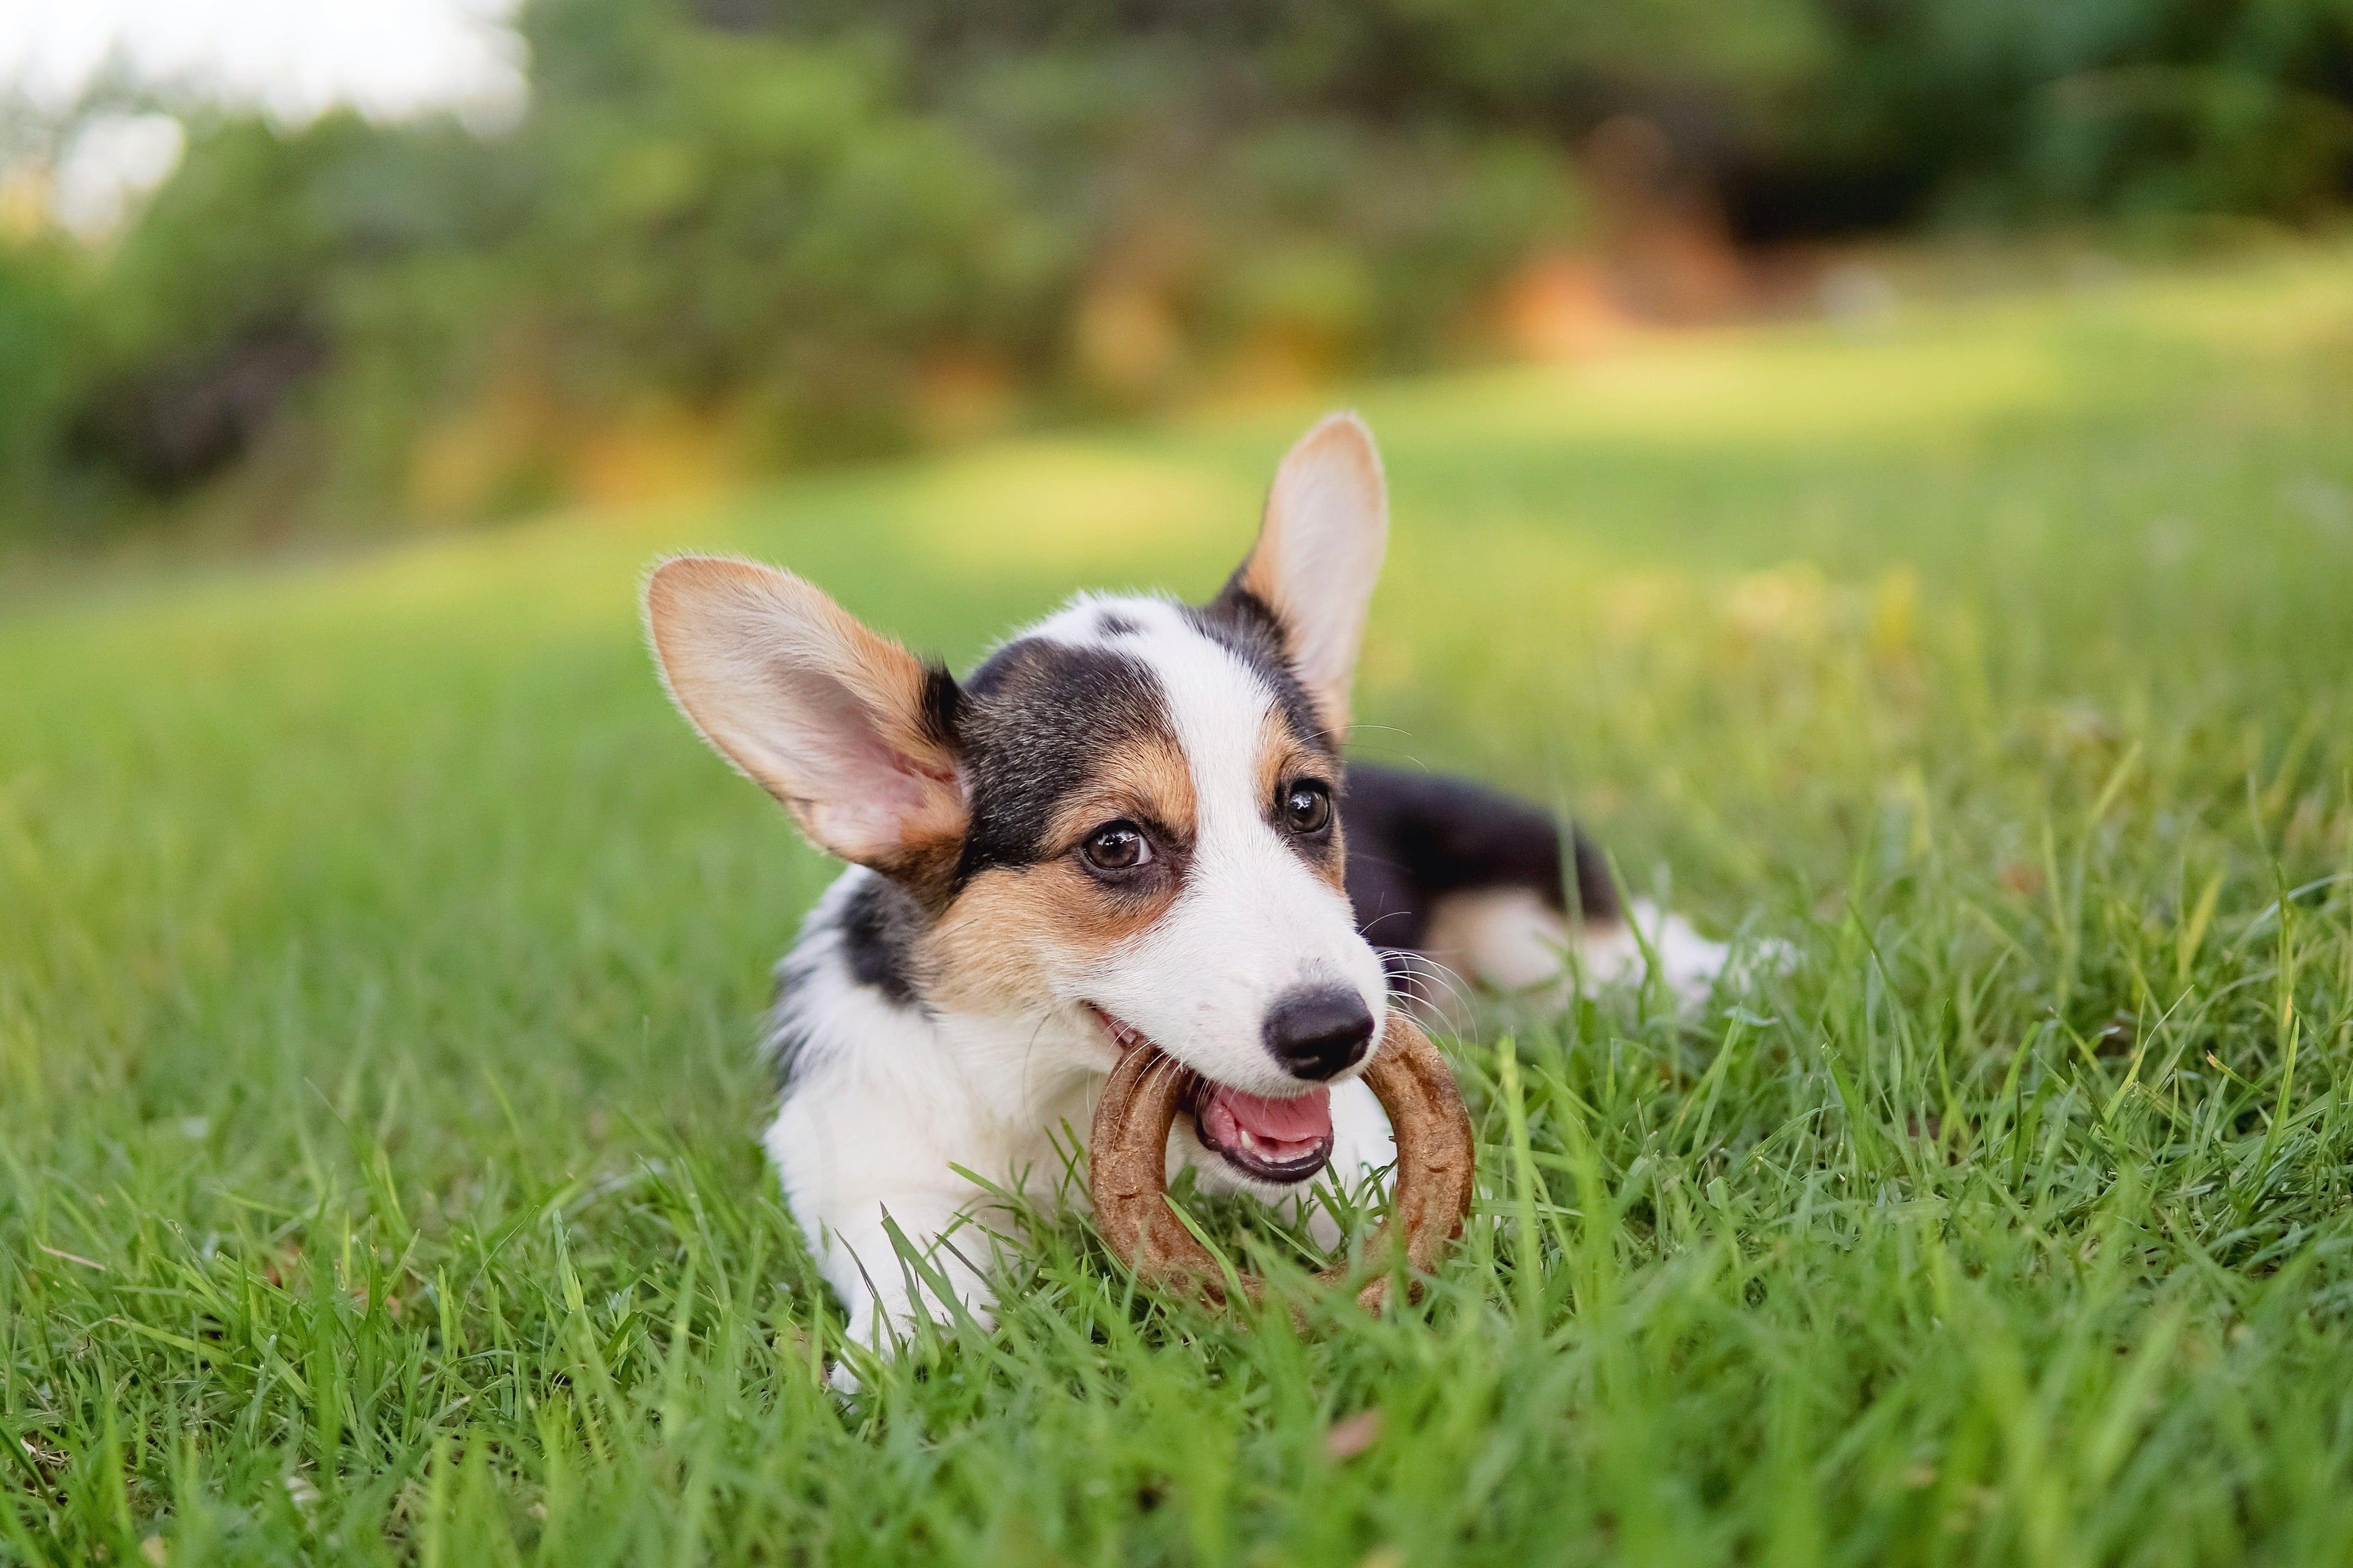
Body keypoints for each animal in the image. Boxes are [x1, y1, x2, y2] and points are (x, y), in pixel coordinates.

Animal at [644, 413, 1732, 1372]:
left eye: (1305, 804)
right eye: (1116, 846)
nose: (1336, 1036)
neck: (1056, 1100)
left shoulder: (1349, 1146)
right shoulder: (876, 1171)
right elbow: (919, 1284)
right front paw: (899, 1358)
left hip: (1547, 934)